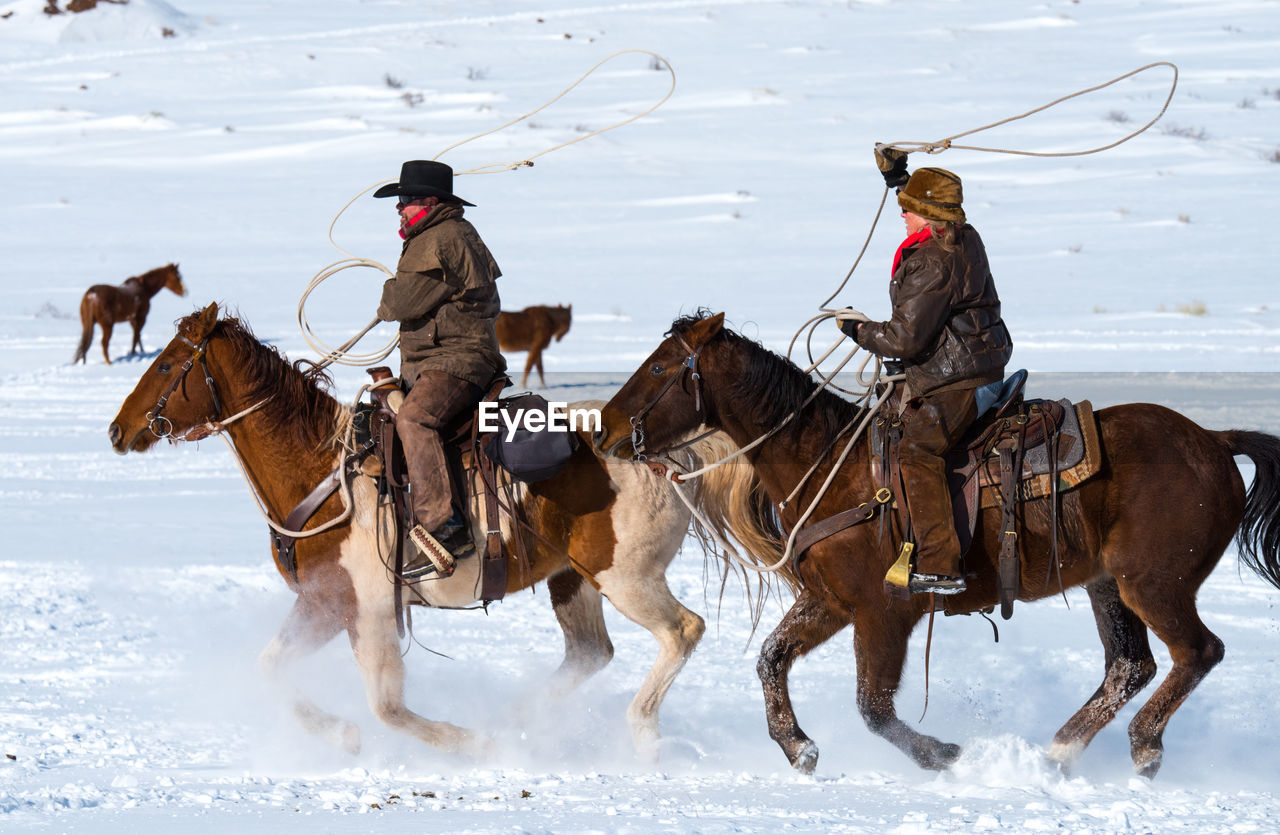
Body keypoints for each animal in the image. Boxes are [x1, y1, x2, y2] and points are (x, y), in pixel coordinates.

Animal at [104, 303, 721, 758]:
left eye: (166, 366)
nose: (117, 430)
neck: (324, 472)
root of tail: (660, 455)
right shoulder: (325, 602)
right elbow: (271, 668)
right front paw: (341, 734)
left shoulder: (372, 608)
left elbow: (386, 706)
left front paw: (469, 744)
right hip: (573, 578)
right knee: (590, 653)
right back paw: (520, 718)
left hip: (627, 576)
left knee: (682, 630)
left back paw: (641, 735)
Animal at [593, 311, 1280, 778]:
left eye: (659, 368)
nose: (601, 429)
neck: (831, 467)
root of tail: (1215, 440)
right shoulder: (833, 604)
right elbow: (771, 658)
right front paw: (798, 746)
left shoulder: (884, 613)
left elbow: (873, 706)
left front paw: (945, 754)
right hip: (1106, 583)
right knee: (1129, 666)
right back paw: (1058, 751)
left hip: (1155, 583)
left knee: (1198, 651)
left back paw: (1143, 746)